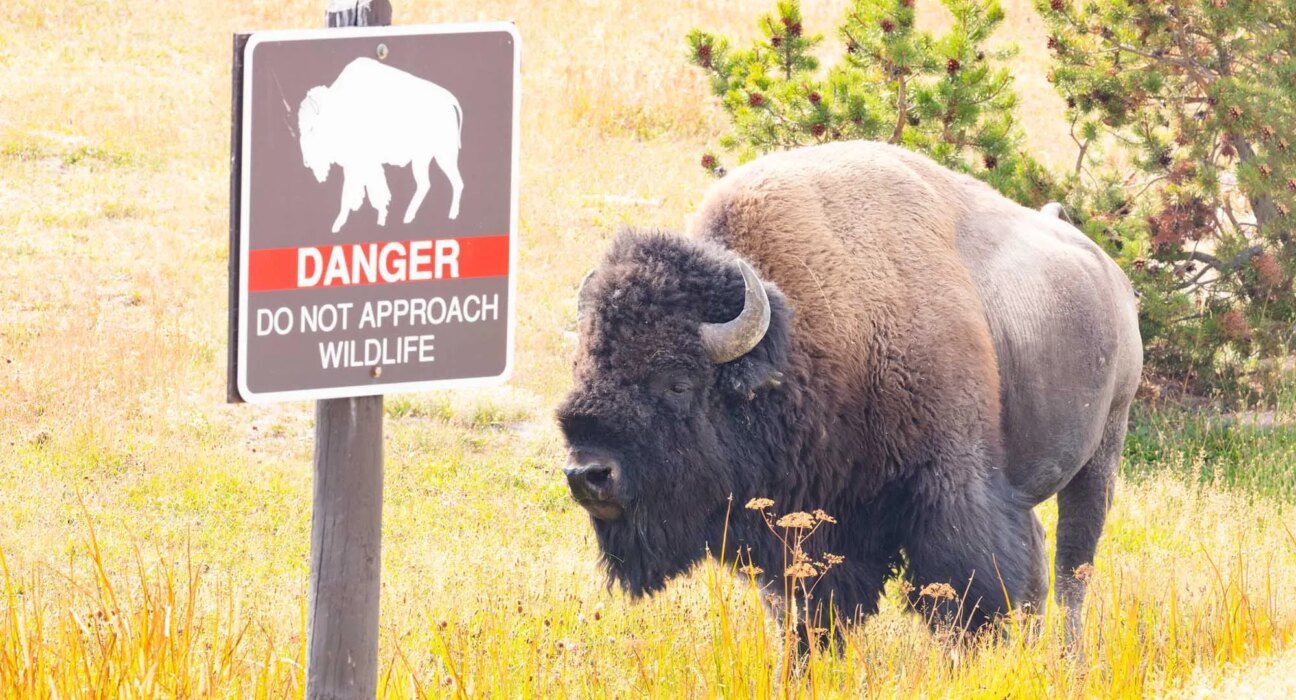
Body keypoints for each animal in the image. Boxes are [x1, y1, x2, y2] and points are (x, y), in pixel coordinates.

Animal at [557, 141, 1142, 640]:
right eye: (582, 367)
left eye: (679, 382)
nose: (588, 474)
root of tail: (1111, 277)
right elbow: (805, 611)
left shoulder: (950, 489)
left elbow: (966, 593)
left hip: (1101, 455)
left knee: (1073, 567)